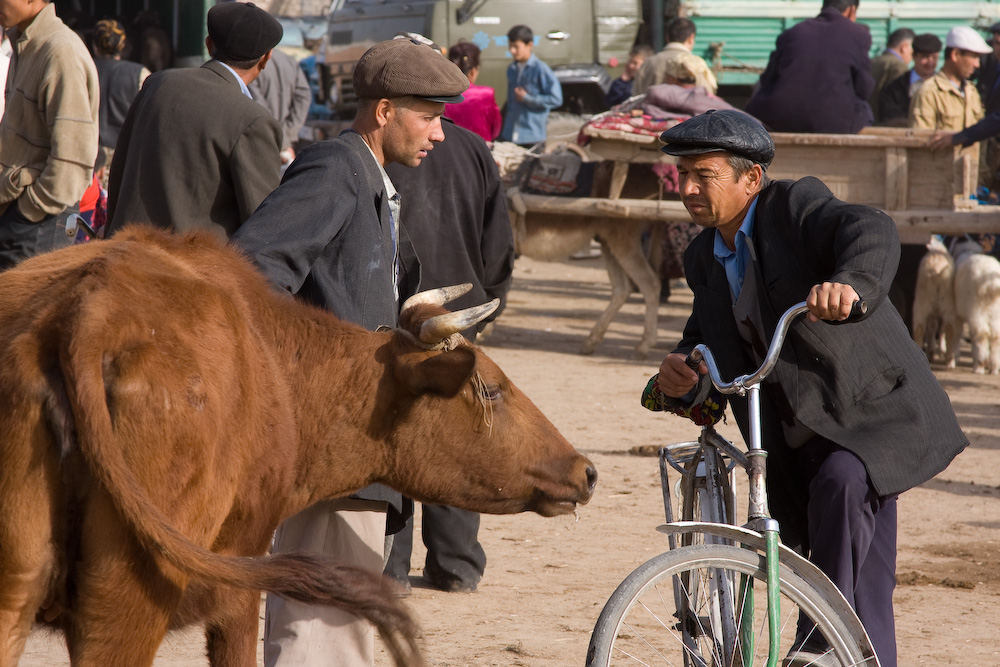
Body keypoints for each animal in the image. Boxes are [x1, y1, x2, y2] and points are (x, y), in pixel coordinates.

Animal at [0, 227, 592, 664]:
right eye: (491, 388)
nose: (586, 470)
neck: (281, 367)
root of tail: (89, 309)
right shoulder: (240, 585)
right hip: (125, 599)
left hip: (17, 588)